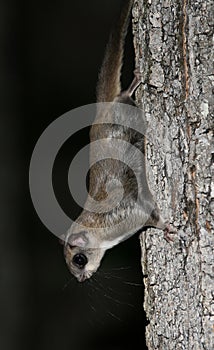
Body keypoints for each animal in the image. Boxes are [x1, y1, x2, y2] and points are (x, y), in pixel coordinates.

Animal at [62, 0, 175, 284]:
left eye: (79, 260)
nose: (81, 279)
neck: (101, 232)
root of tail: (101, 112)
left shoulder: (131, 212)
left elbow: (153, 215)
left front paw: (167, 228)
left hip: (126, 110)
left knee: (124, 94)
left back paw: (134, 83)